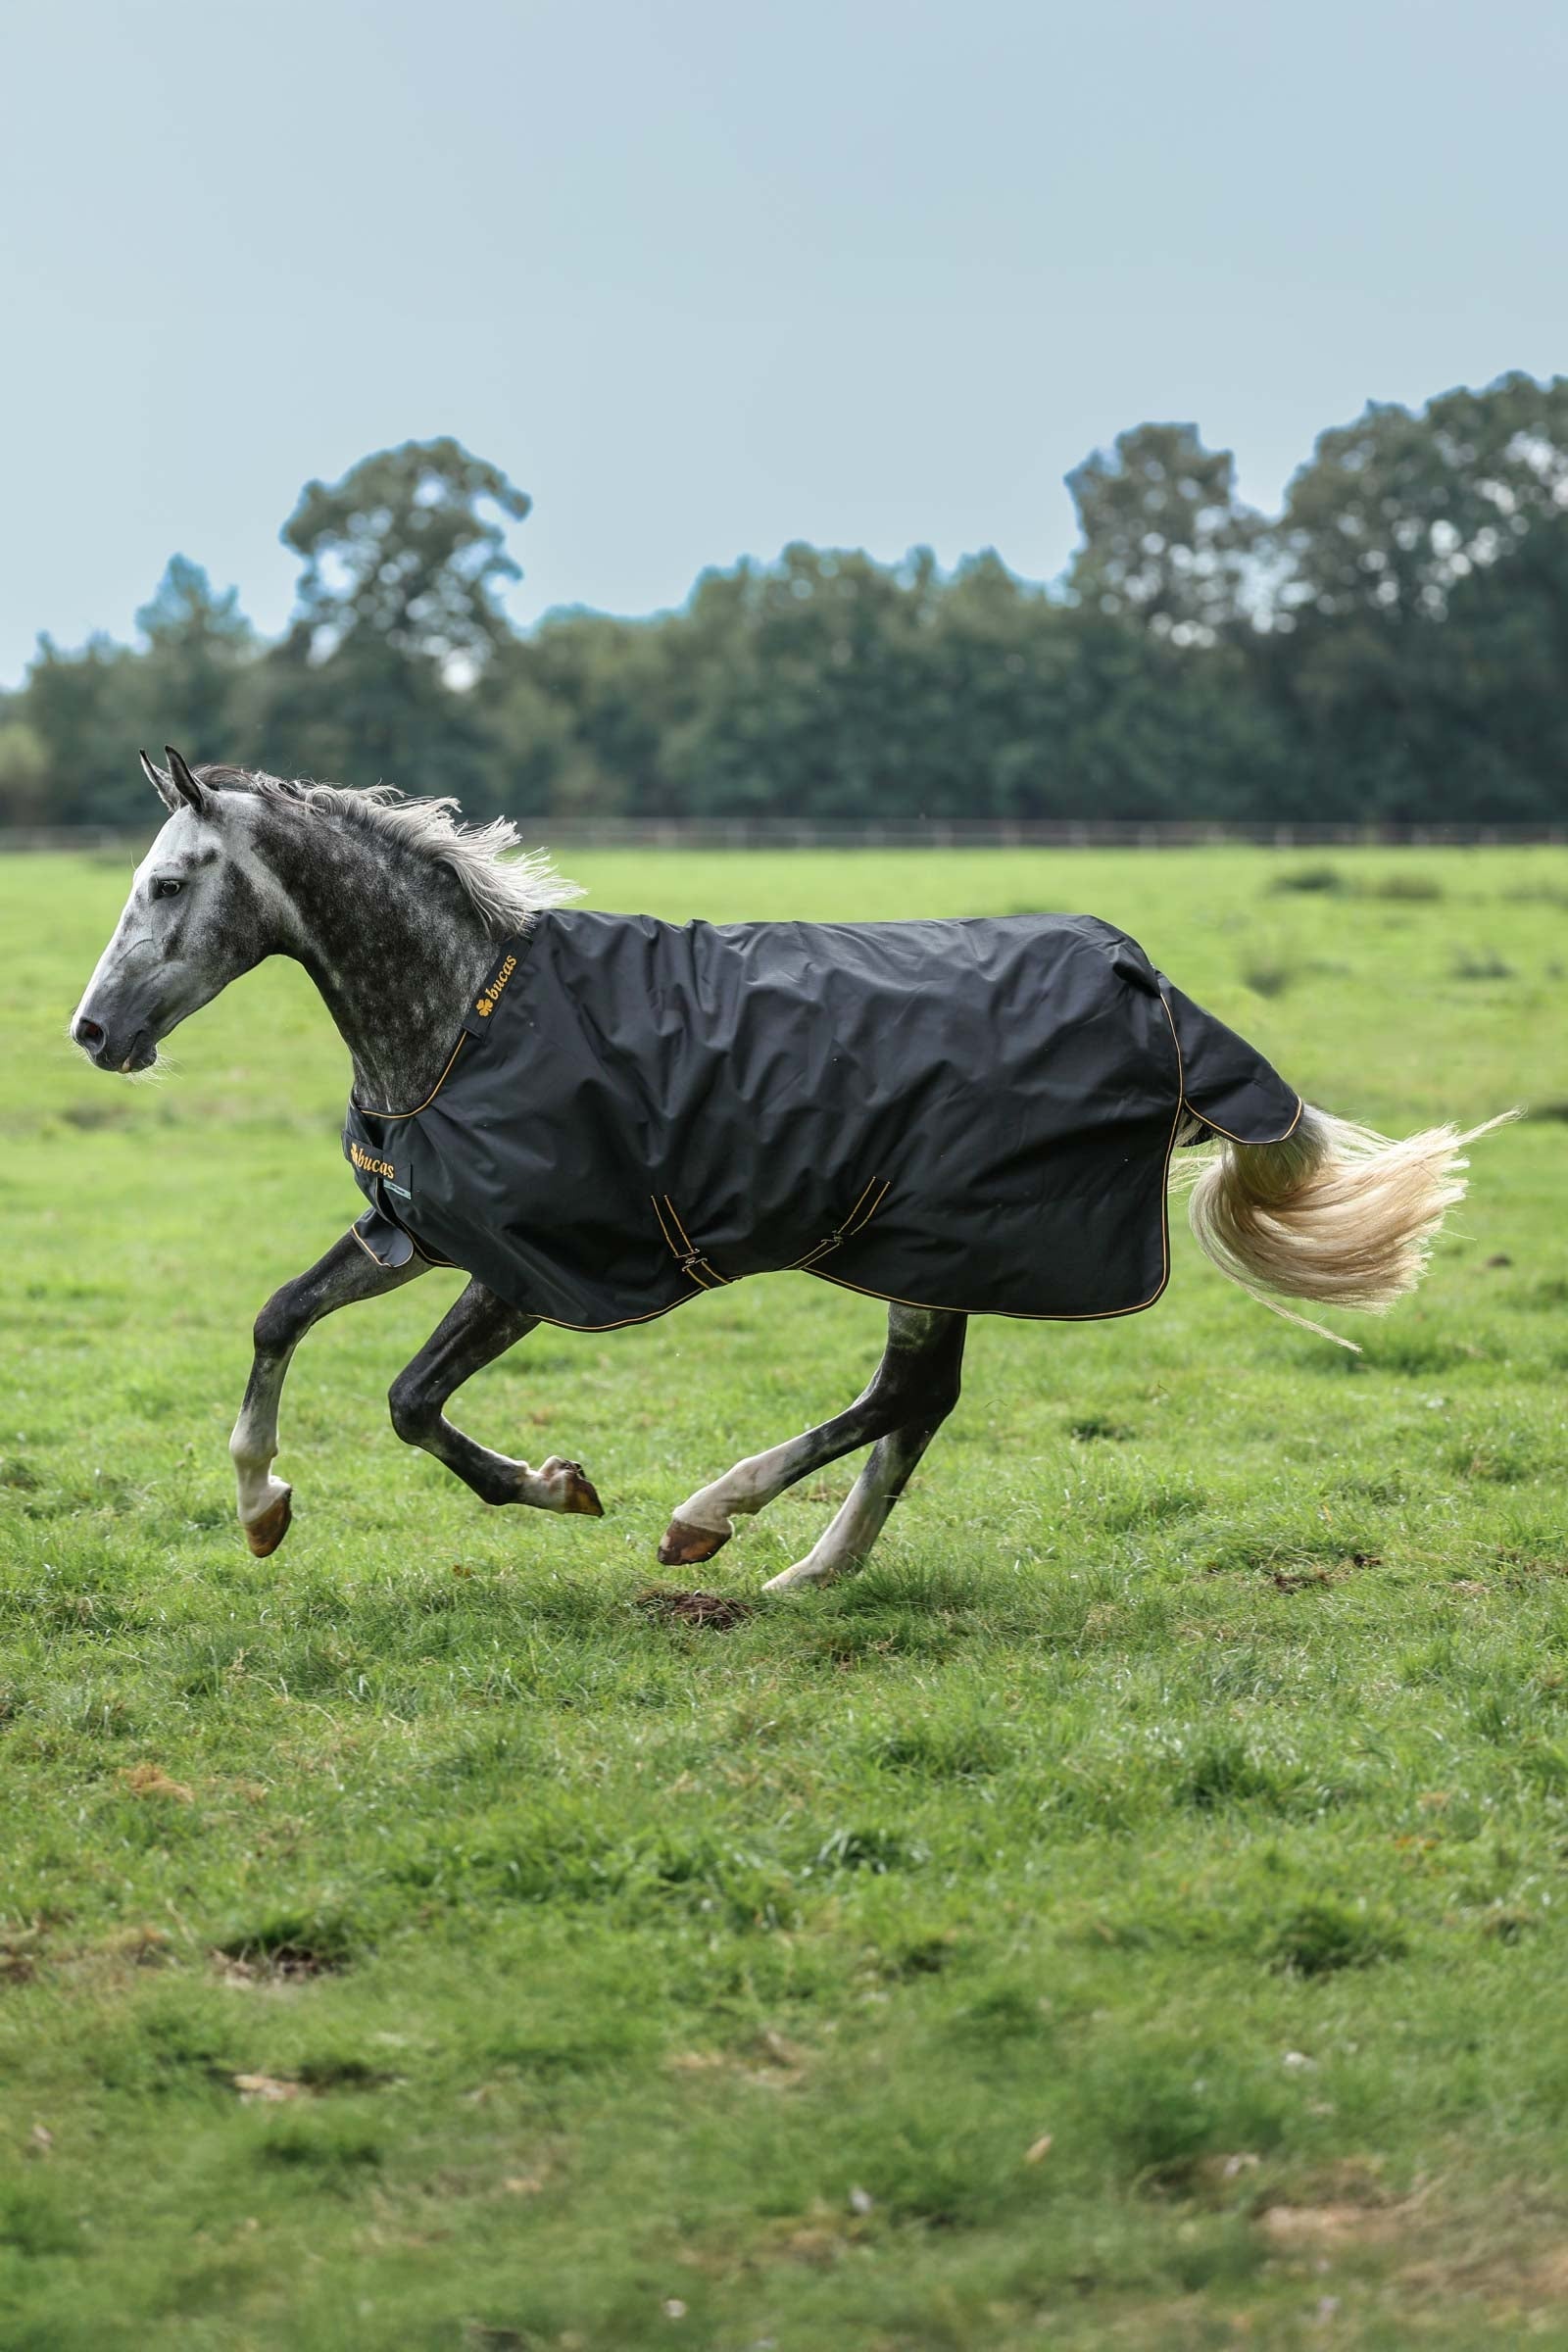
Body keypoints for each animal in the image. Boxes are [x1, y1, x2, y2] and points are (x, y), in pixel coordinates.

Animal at [69, 749, 1504, 1593]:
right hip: (930, 1248)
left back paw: (711, 1520)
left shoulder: (532, 1264)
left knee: (906, 1396)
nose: (94, 1033)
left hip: (931, 1240)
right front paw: (262, 1507)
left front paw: (558, 1486)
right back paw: (812, 1570)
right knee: (918, 1405)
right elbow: (279, 1319)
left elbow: (413, 1402)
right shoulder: (420, 1227)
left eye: (172, 882)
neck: (464, 1015)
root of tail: (1158, 997)